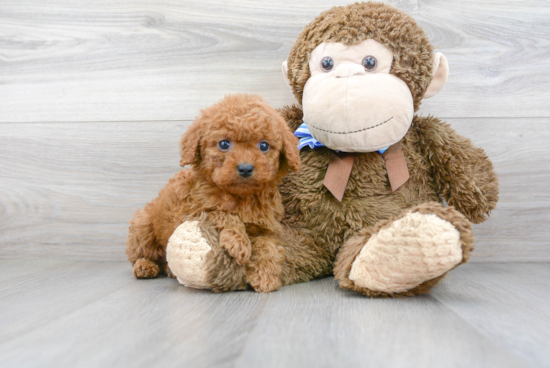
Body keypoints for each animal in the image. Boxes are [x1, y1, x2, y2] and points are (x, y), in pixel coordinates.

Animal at [125, 94, 302, 294]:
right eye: (224, 144)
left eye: (264, 146)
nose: (245, 168)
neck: (240, 196)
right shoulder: (190, 213)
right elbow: (221, 213)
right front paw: (239, 243)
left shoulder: (267, 226)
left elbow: (268, 246)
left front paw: (265, 275)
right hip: (142, 227)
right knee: (142, 253)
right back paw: (145, 266)